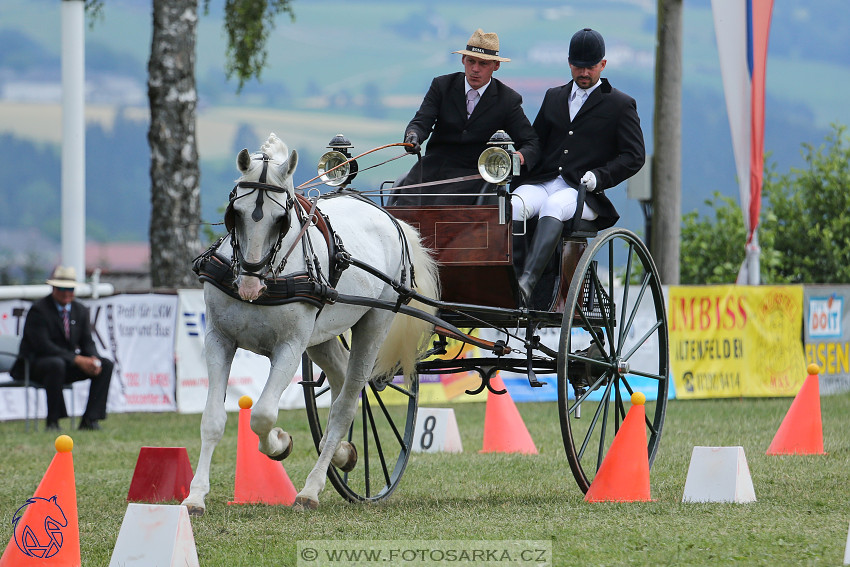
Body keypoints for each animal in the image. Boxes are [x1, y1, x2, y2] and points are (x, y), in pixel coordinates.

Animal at [183, 133, 440, 516]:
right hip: (321, 337)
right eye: (235, 215)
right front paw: (195, 497)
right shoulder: (219, 339)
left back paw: (311, 489)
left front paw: (280, 442)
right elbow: (212, 419)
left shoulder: (289, 347)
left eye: (282, 218)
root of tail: (390, 219)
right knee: (341, 383)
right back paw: (343, 454)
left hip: (374, 323)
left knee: (348, 401)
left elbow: (262, 414)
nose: (249, 287)